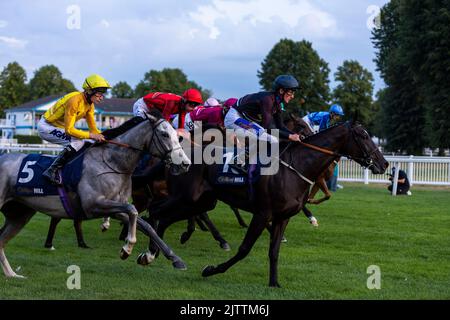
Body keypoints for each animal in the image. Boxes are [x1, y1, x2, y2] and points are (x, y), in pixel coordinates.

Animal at [0, 114, 190, 278]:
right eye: (164, 134)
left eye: (178, 136)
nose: (185, 164)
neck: (112, 163)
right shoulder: (93, 205)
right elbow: (133, 210)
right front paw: (127, 248)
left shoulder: (114, 208)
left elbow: (146, 224)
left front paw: (164, 258)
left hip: (20, 214)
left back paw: (12, 274)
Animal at [140, 122, 386, 288]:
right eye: (363, 135)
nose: (383, 164)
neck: (296, 168)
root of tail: (178, 158)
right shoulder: (262, 213)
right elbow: (244, 249)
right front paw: (211, 270)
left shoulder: (282, 217)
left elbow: (274, 251)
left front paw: (274, 283)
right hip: (185, 197)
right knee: (155, 211)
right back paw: (150, 252)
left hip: (201, 202)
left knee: (166, 217)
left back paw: (160, 252)